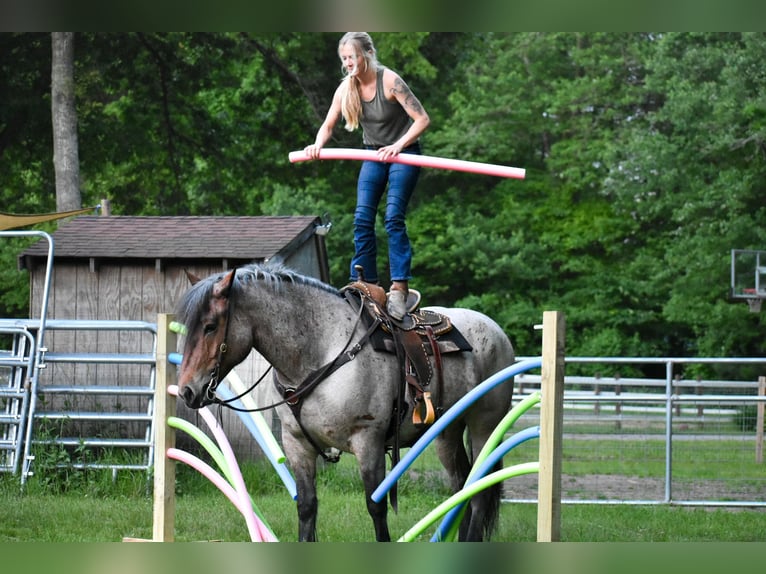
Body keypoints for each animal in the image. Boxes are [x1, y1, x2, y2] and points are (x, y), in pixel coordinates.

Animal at [174, 262, 516, 544]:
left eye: (210, 326)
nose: (187, 391)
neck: (321, 350)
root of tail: (496, 330)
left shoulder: (368, 442)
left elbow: (375, 507)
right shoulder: (297, 444)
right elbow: (307, 507)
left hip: (484, 425)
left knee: (480, 490)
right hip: (447, 432)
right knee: (463, 484)